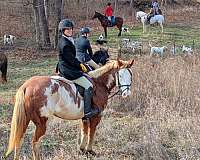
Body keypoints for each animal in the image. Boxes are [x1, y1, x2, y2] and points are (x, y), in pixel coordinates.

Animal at [5, 58, 134, 160]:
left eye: (130, 75)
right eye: (120, 75)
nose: (126, 94)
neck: (99, 83)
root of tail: (26, 86)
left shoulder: (85, 117)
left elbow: (84, 132)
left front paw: (82, 150)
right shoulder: (96, 116)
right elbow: (91, 133)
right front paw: (89, 151)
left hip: (25, 120)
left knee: (18, 139)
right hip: (41, 123)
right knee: (35, 143)